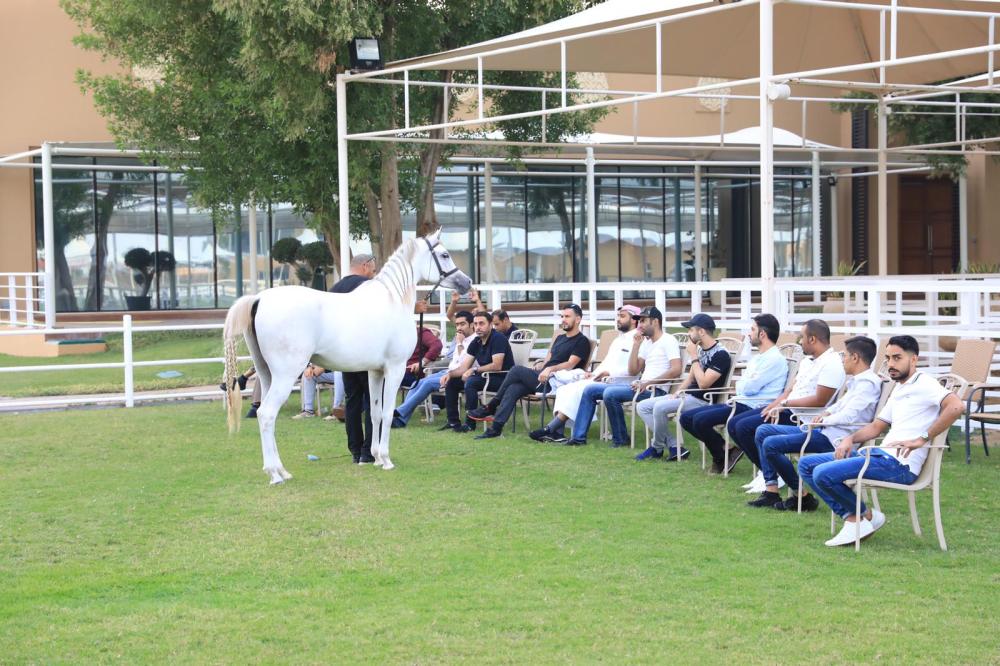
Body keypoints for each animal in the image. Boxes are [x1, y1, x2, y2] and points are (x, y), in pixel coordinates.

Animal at [221, 230, 470, 482]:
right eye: (445, 254)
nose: (466, 282)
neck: (393, 300)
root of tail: (258, 299)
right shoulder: (395, 368)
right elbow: (388, 412)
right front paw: (386, 459)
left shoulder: (375, 371)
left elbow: (375, 413)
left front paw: (376, 457)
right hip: (286, 375)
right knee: (267, 414)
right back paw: (275, 474)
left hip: (266, 374)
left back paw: (281, 470)